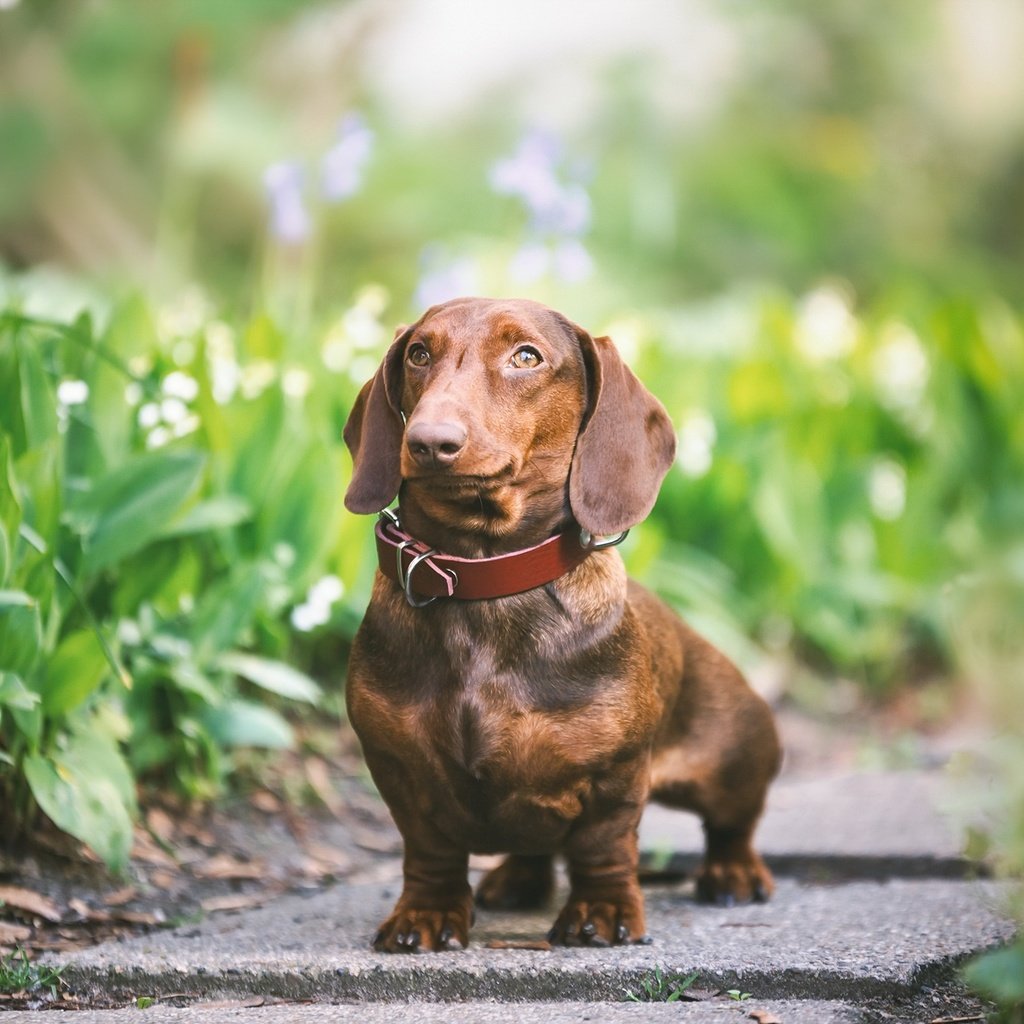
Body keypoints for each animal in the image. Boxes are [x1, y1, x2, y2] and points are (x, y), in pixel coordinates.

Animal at [344, 296, 782, 950]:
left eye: (526, 356)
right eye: (419, 353)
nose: (428, 441)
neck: (485, 579)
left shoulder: (614, 776)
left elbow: (603, 847)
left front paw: (601, 911)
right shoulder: (398, 773)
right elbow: (429, 851)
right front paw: (426, 913)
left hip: (734, 761)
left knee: (734, 825)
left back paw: (734, 872)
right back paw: (513, 878)